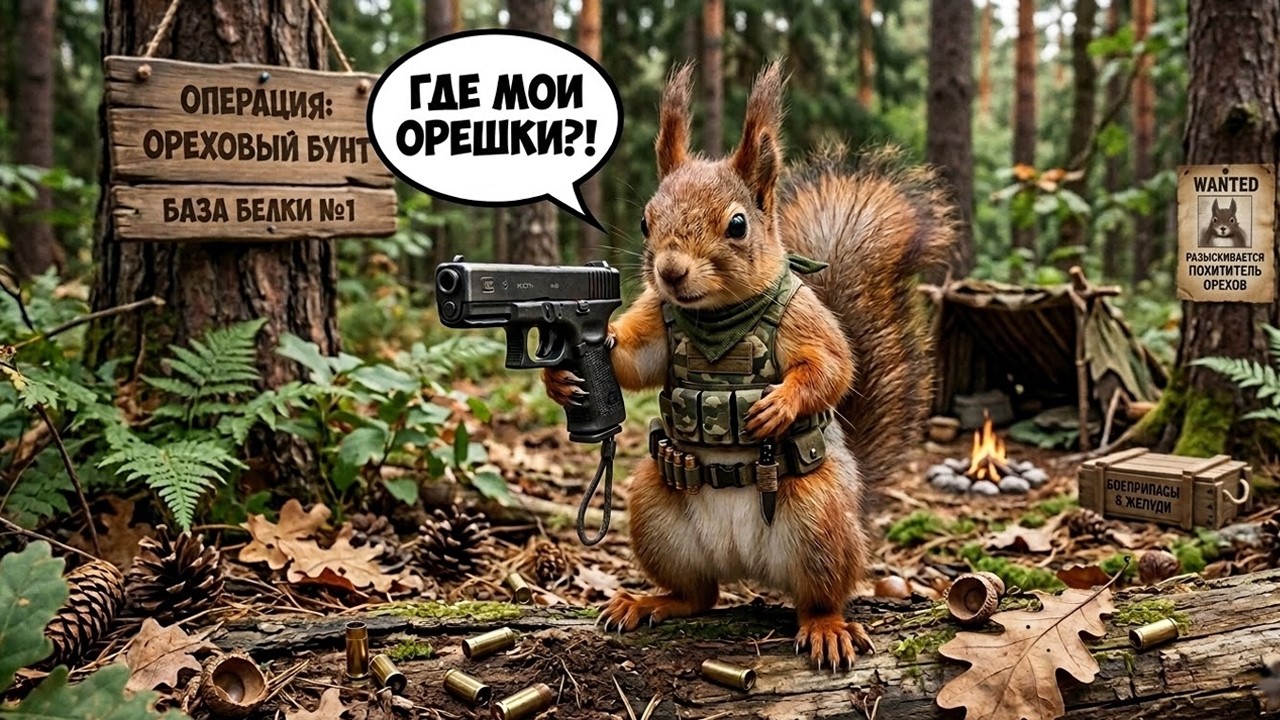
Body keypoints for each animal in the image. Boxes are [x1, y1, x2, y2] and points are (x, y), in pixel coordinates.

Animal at [544, 62, 955, 669]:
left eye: (737, 225)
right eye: (645, 221)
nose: (670, 271)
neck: (716, 316)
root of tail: (746, 565)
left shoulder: (806, 316)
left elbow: (833, 368)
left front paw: (780, 404)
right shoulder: (657, 316)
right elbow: (632, 363)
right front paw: (558, 374)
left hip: (819, 519)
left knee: (820, 596)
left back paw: (827, 627)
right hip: (653, 506)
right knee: (700, 595)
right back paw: (648, 602)